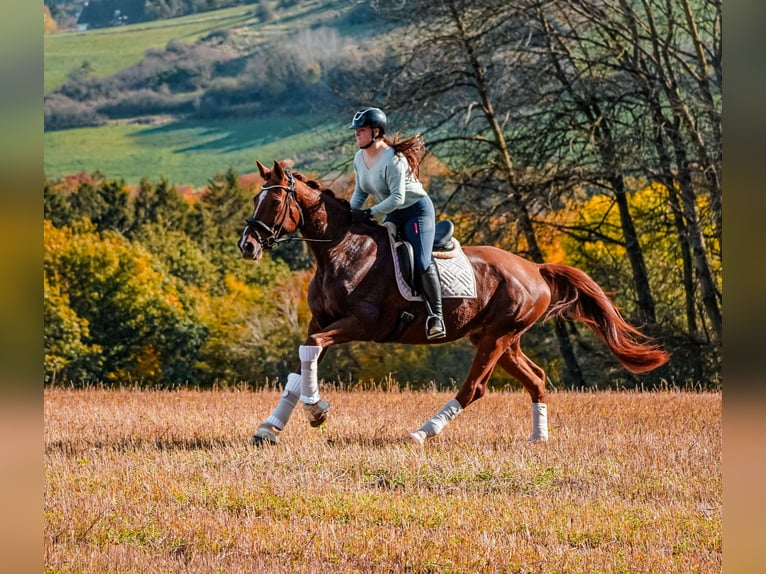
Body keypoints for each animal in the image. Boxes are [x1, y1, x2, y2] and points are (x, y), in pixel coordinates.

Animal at [237, 160, 668, 448]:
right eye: (257, 199)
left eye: (273, 204)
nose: (248, 246)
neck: (341, 249)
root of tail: (535, 269)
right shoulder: (321, 321)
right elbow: (301, 363)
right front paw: (269, 428)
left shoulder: (360, 324)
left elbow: (310, 352)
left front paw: (317, 412)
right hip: (500, 338)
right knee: (536, 378)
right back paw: (537, 438)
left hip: (496, 337)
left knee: (474, 388)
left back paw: (420, 433)